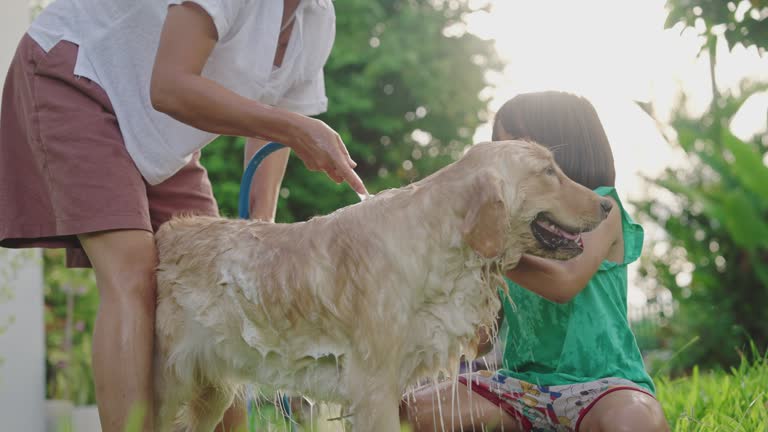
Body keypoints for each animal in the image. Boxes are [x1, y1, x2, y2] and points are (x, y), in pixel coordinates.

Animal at [154, 140, 612, 430]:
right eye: (548, 172)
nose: (608, 204)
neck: (434, 243)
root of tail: (166, 232)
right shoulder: (373, 388)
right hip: (169, 385)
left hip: (210, 394)